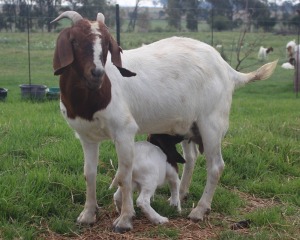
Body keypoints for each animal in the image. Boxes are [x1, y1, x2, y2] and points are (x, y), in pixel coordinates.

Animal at [51, 10, 276, 232]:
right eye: (75, 41)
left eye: (107, 43)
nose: (97, 73)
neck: (92, 97)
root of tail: (229, 70)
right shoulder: (86, 136)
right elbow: (89, 174)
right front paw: (88, 215)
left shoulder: (124, 131)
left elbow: (124, 176)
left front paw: (125, 219)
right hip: (189, 125)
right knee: (191, 158)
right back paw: (181, 194)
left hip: (212, 122)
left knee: (216, 166)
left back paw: (199, 210)